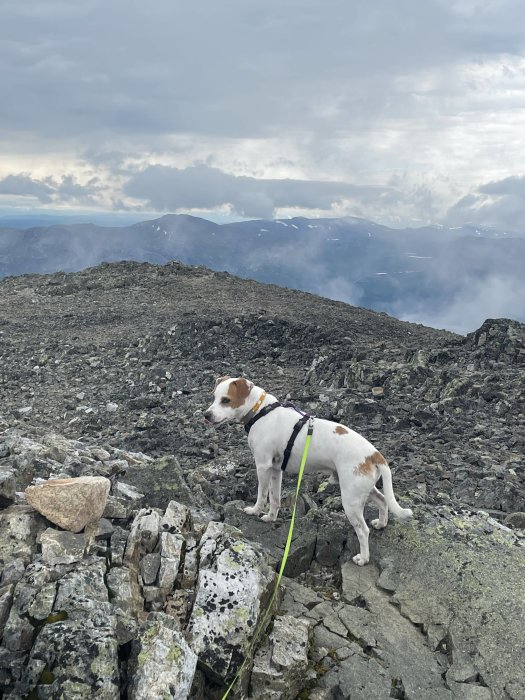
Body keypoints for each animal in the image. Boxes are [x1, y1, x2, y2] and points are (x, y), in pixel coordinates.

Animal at [205, 374, 414, 568]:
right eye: (213, 397)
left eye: (226, 400)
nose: (206, 415)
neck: (261, 411)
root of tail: (374, 455)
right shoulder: (275, 470)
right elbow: (275, 499)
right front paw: (271, 518)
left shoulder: (263, 466)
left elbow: (262, 495)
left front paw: (254, 511)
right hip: (363, 490)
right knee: (383, 500)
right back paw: (381, 523)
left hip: (351, 500)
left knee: (363, 531)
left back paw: (363, 558)